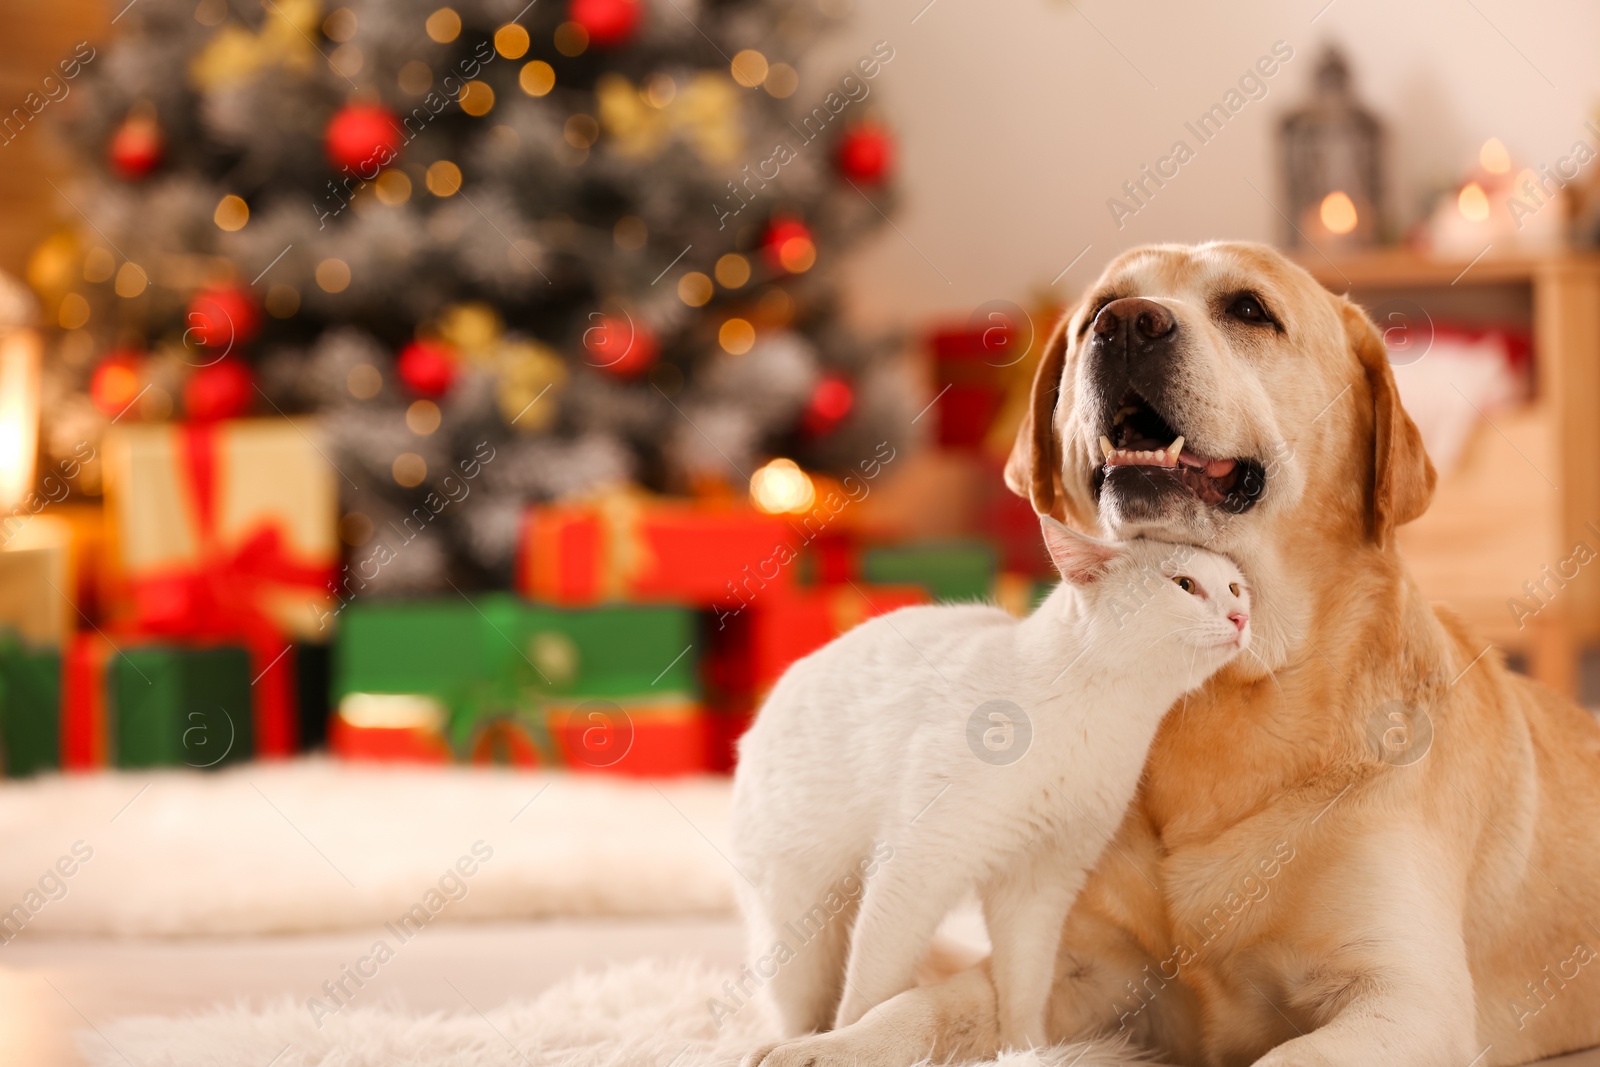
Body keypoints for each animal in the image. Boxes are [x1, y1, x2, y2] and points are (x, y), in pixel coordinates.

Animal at [729, 518, 1248, 1049]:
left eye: (1234, 587)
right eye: (1184, 585)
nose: (1240, 616)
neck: (1096, 717)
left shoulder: (1041, 884)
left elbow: (1025, 984)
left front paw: (1027, 1051)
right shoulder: (915, 868)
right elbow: (869, 995)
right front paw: (845, 1042)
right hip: (797, 925)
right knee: (801, 1002)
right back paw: (790, 1044)